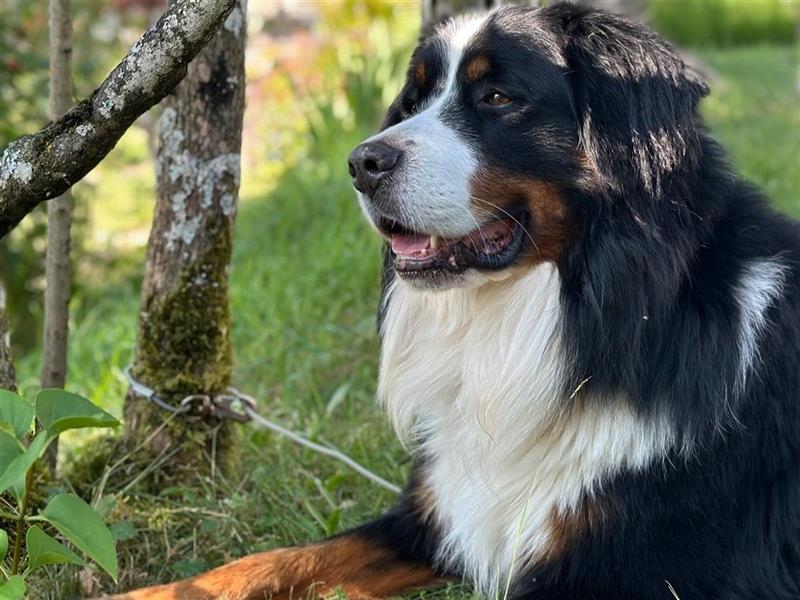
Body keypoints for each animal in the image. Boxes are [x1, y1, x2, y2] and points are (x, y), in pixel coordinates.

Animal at [112, 1, 800, 600]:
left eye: (497, 97)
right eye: (414, 100)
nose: (362, 163)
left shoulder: (637, 570)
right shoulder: (435, 515)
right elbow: (273, 560)